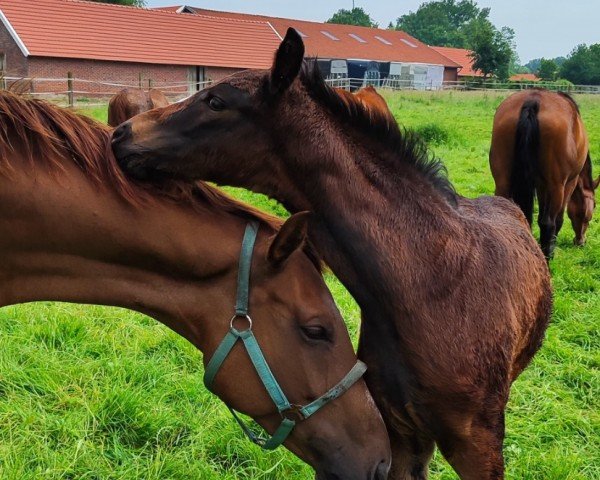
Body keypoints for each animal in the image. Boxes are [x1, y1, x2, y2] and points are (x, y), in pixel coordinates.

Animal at [488, 88, 596, 256]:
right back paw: (548, 255)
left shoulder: (541, 186)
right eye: (592, 210)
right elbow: (557, 219)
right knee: (549, 222)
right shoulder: (569, 183)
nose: (580, 241)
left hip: (503, 181)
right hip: (556, 186)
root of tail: (533, 100)